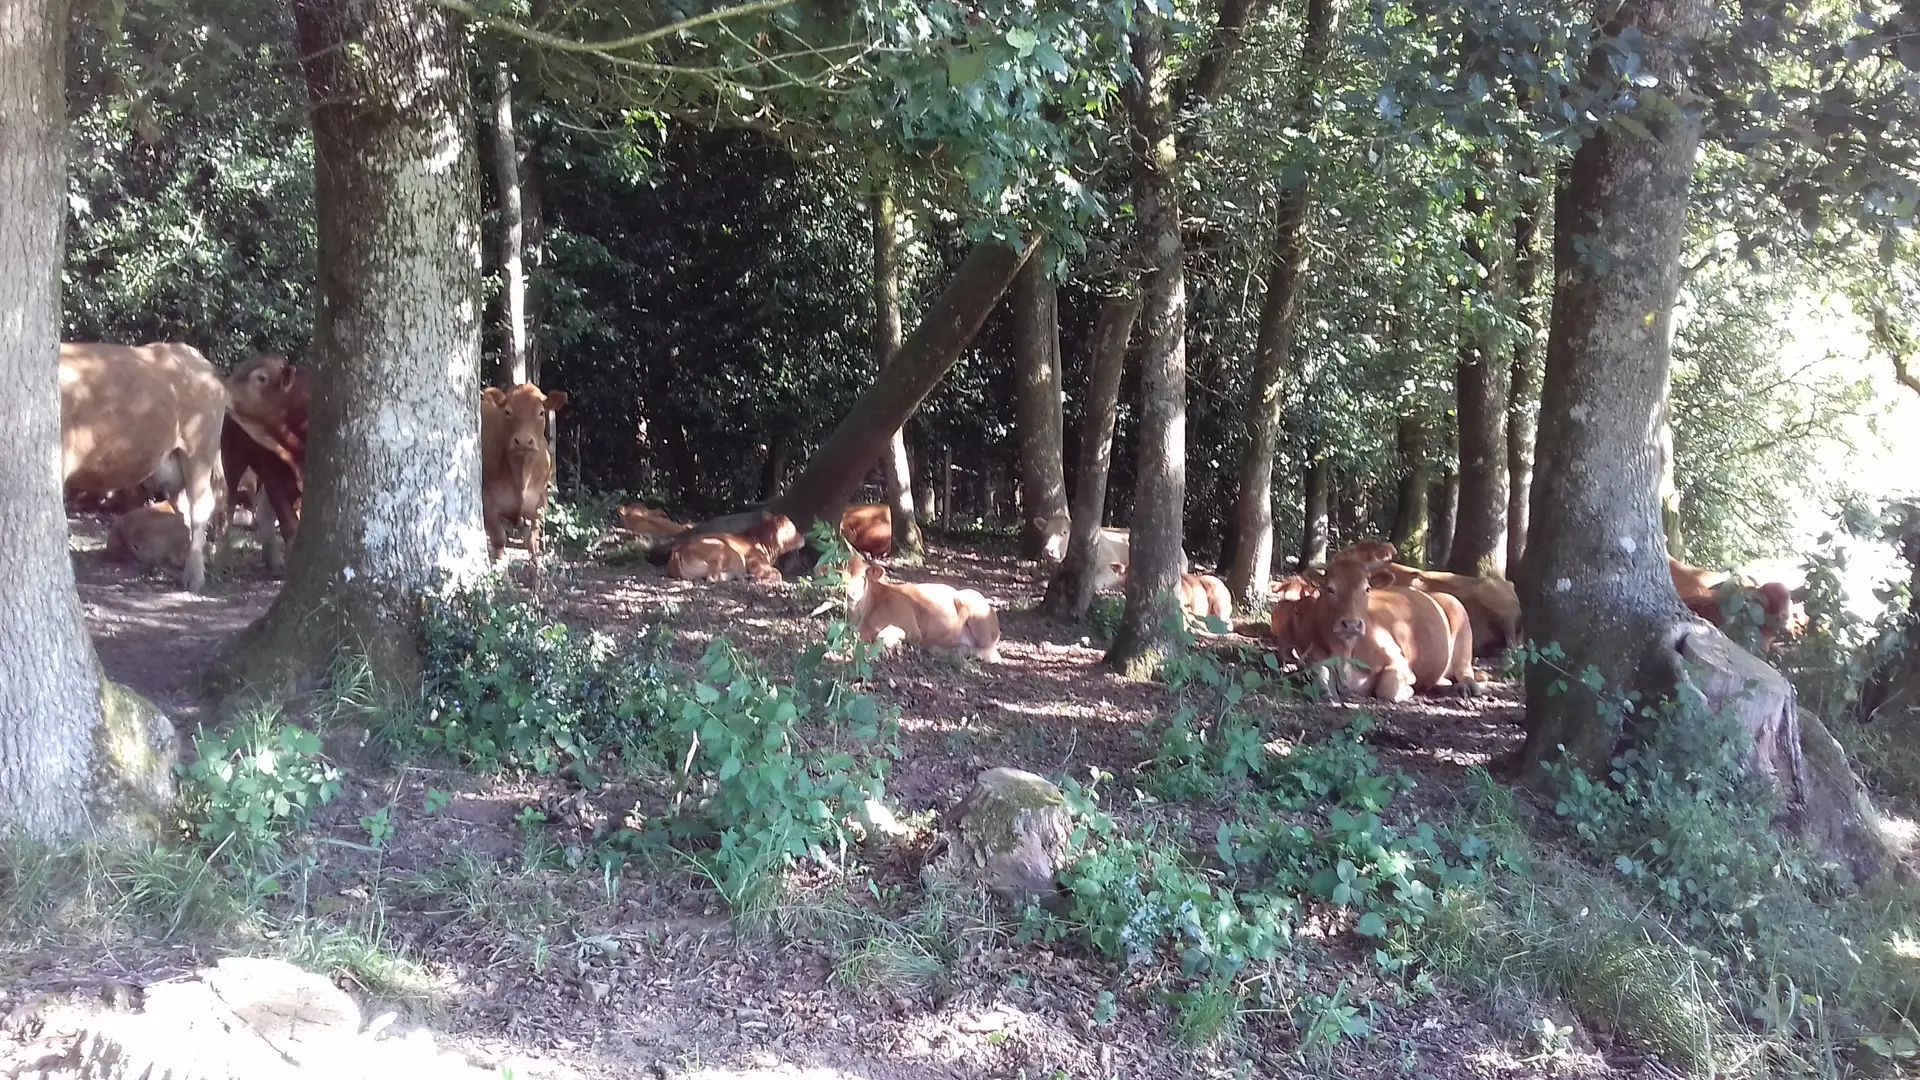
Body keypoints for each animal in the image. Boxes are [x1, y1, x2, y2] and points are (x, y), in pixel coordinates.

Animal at [483, 380, 564, 568]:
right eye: (507, 412)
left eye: (541, 412)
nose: (524, 441)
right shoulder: (486, 501)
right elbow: (499, 538)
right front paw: (501, 569)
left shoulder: (540, 501)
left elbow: (532, 539)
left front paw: (537, 568)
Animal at [844, 549, 1006, 661]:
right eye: (842, 575)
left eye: (863, 577)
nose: (852, 593)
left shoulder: (911, 627)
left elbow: (884, 635)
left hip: (975, 612)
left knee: (991, 653)